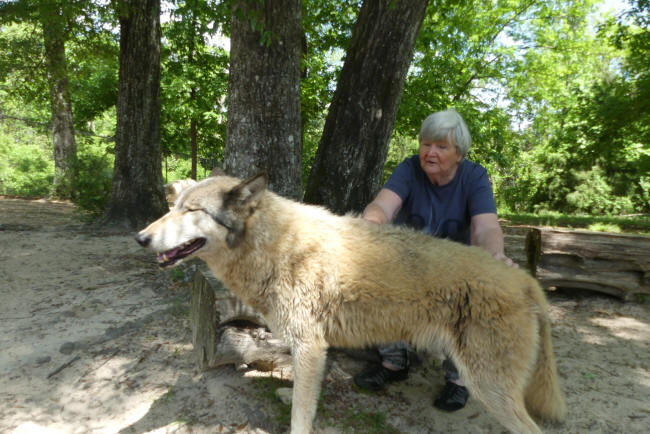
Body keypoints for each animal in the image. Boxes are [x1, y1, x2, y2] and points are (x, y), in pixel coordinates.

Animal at [135, 173, 560, 434]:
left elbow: (300, 415)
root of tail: (525, 279)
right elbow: (302, 396)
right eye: (172, 208)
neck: (277, 245)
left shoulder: (310, 346)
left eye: (192, 211)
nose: (141, 238)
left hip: (489, 387)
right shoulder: (309, 349)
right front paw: (289, 395)